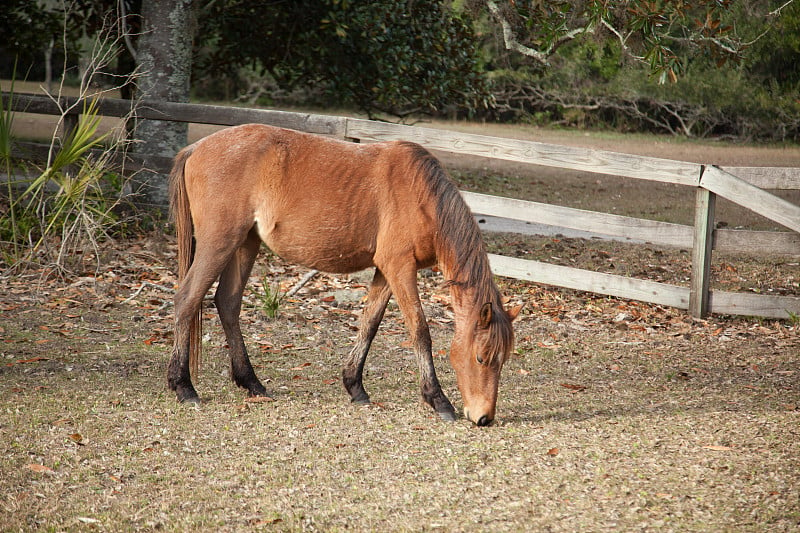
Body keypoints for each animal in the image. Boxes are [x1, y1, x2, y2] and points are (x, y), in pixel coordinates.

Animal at [166, 122, 520, 426]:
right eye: (481, 358)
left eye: (502, 359)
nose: (484, 417)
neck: (422, 196)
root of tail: (196, 148)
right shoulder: (400, 268)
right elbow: (420, 331)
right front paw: (438, 400)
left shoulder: (386, 271)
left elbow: (369, 324)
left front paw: (355, 386)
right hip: (219, 243)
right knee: (187, 299)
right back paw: (184, 387)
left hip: (245, 244)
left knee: (227, 303)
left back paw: (251, 382)